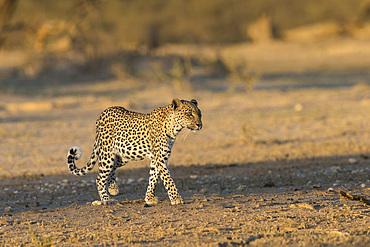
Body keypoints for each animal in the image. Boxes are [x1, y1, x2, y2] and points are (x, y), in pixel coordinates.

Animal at [68, 97, 204, 206]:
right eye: (189, 114)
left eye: (200, 114)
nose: (199, 125)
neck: (174, 128)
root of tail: (102, 114)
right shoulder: (160, 159)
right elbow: (168, 179)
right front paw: (176, 199)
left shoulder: (158, 158)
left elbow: (153, 178)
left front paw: (149, 198)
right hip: (108, 154)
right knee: (100, 178)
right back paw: (106, 199)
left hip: (124, 155)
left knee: (112, 169)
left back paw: (112, 188)